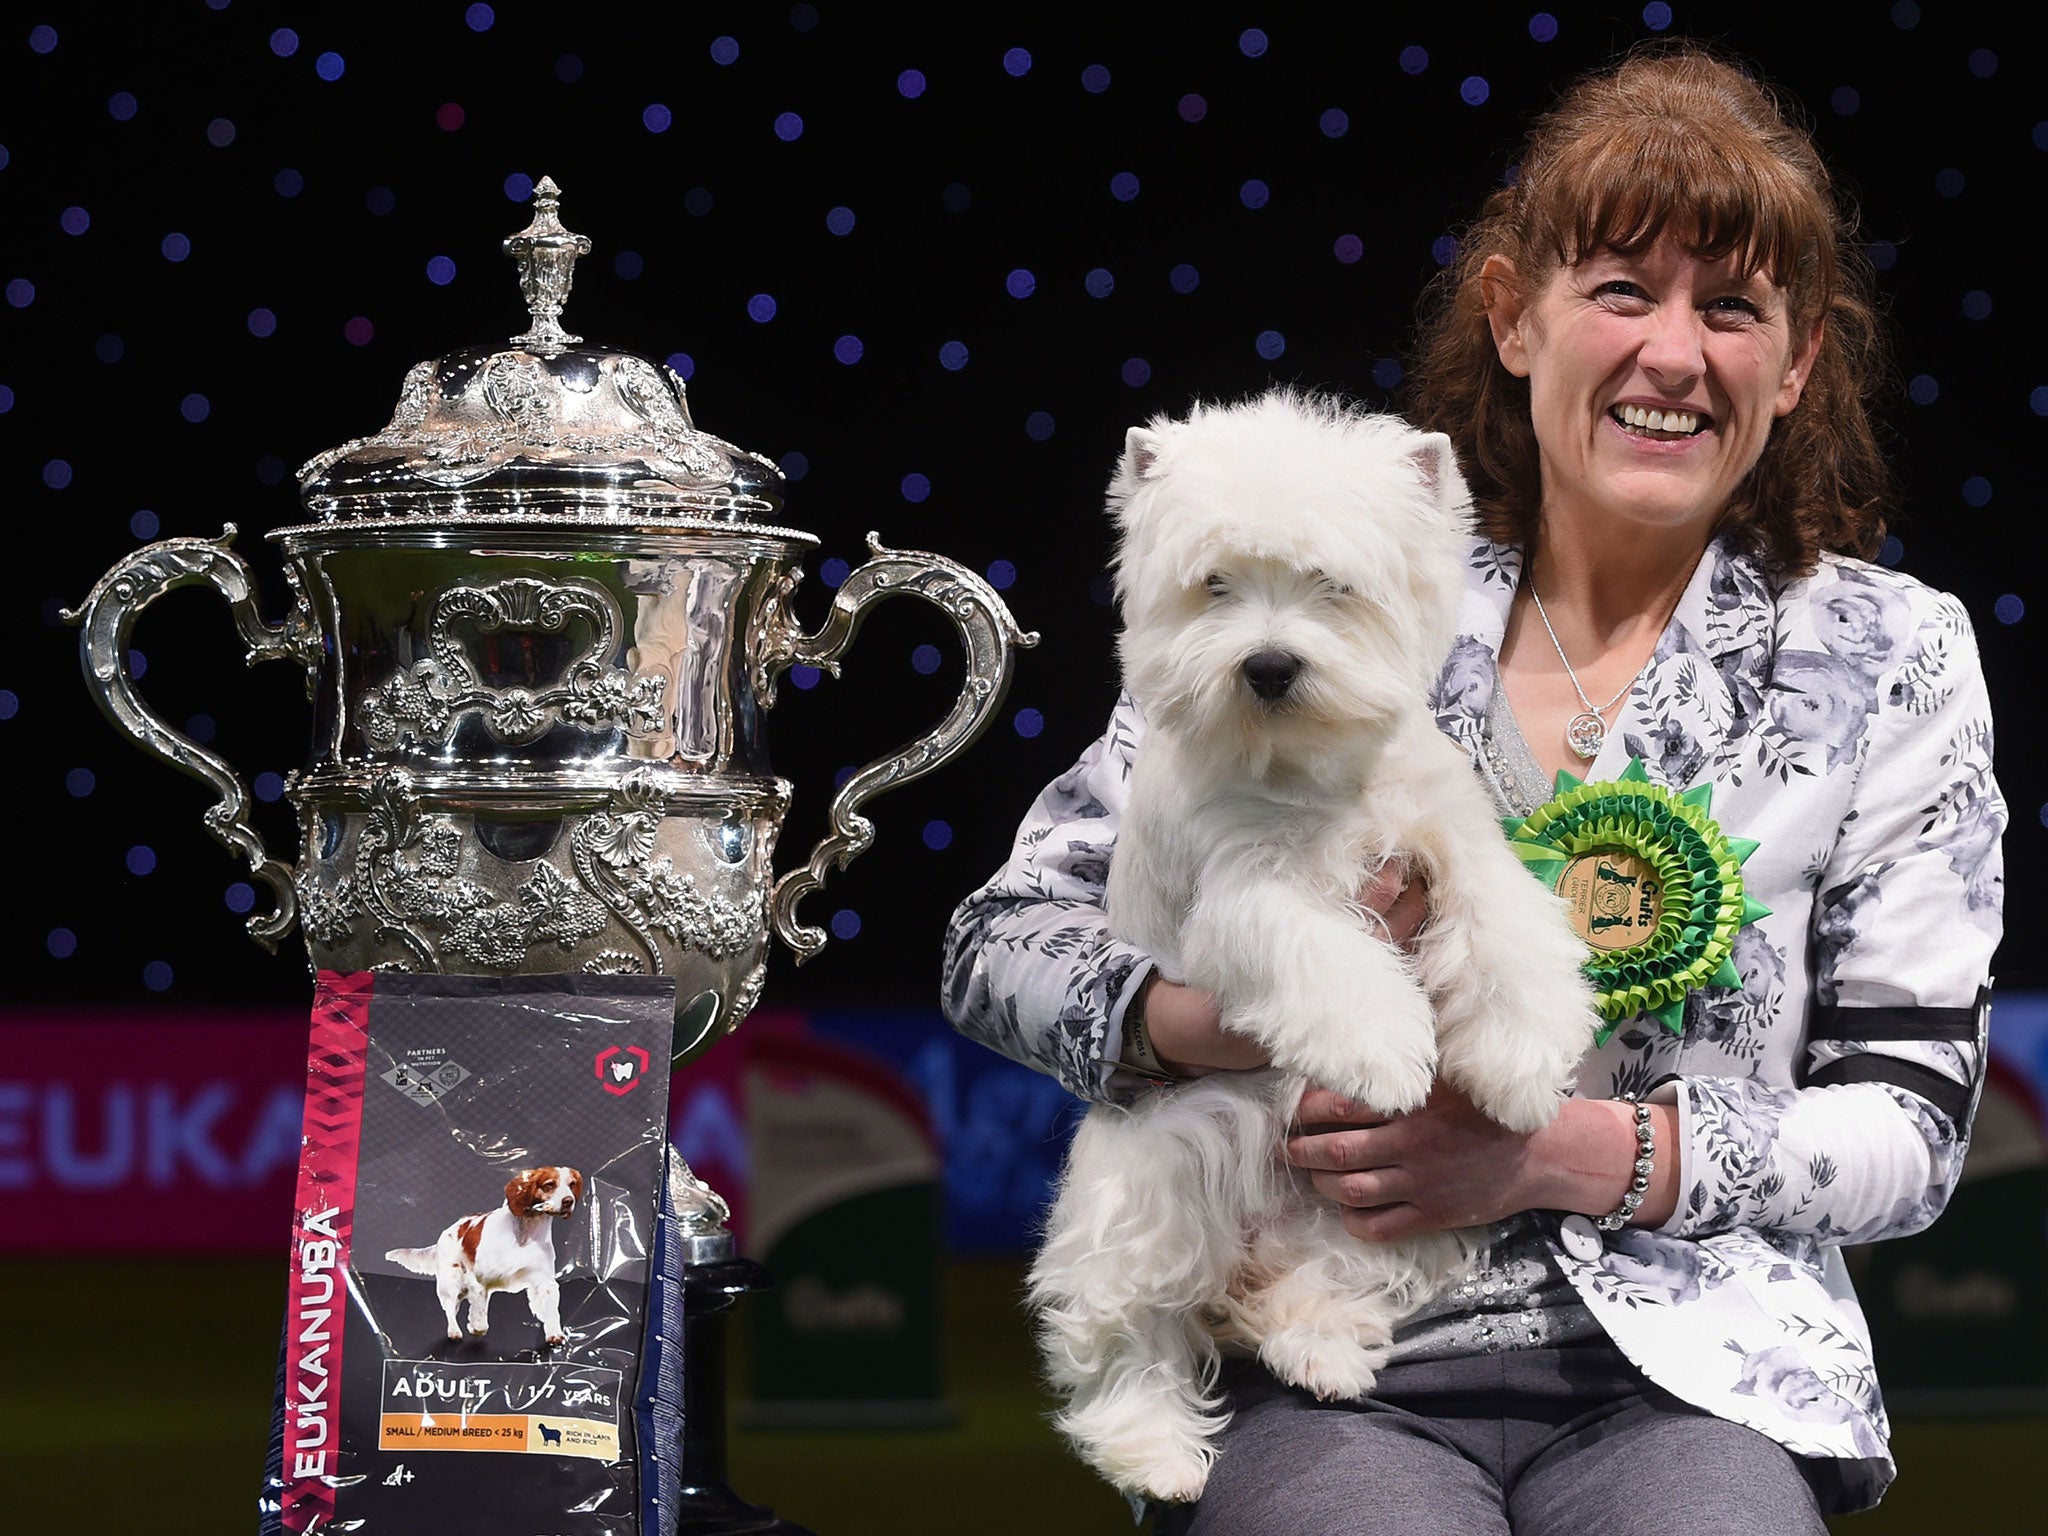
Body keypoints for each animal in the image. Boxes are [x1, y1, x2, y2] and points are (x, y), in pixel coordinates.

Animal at [1032, 393, 1589, 1507]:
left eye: (1334, 584)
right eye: (1214, 584)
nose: (1268, 665)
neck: (1314, 770)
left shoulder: (1449, 841)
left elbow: (1506, 928)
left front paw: (1520, 1062)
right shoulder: (1245, 893)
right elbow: (1321, 952)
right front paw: (1384, 1050)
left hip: (1379, 1200)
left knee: (1333, 1274)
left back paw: (1318, 1349)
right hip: (1159, 1174)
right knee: (1124, 1328)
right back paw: (1160, 1455)